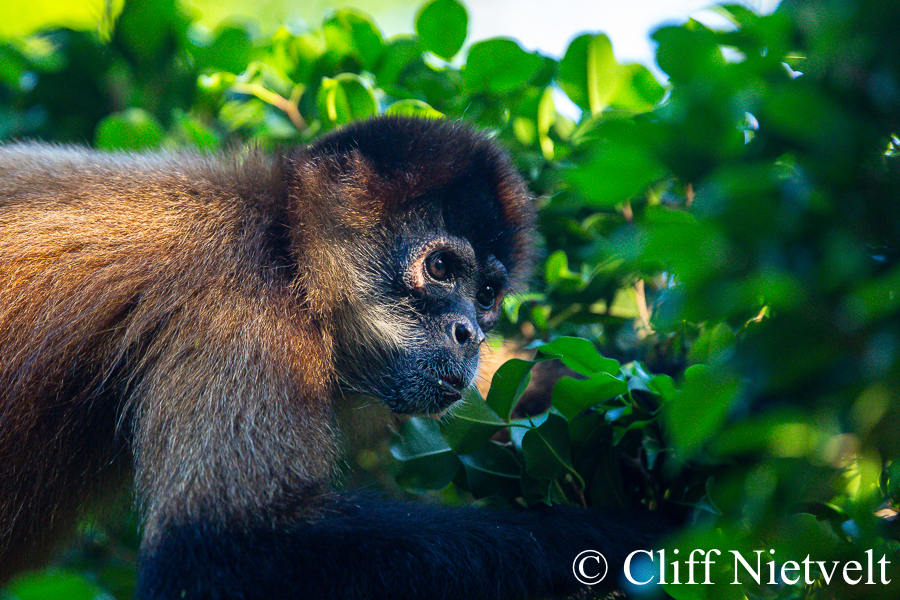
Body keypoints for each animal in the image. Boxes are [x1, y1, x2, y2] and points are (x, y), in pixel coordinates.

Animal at [0, 116, 662, 599]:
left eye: (488, 296)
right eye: (440, 268)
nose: (468, 334)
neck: (281, 237)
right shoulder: (243, 296)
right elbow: (218, 549)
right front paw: (625, 534)